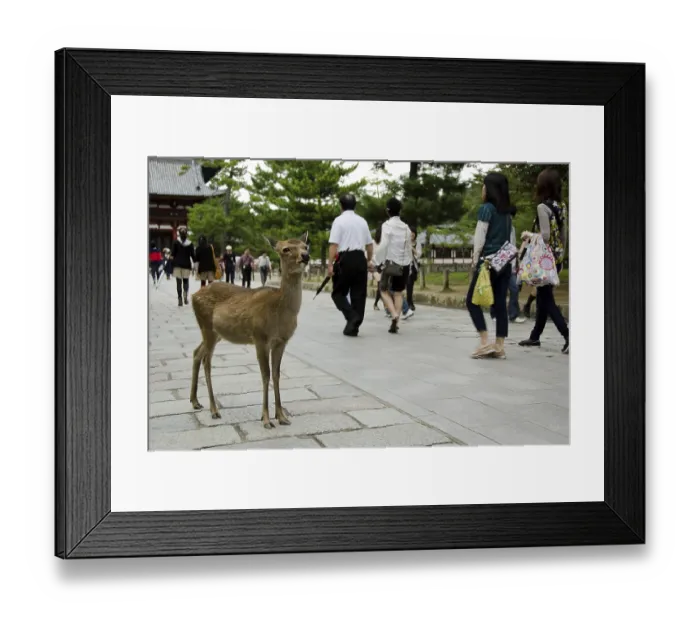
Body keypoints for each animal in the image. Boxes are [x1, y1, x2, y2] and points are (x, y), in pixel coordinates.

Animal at [189, 233, 310, 429]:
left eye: (305, 246)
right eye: (285, 249)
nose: (305, 256)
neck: (280, 311)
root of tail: (193, 296)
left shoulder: (282, 341)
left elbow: (276, 374)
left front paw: (282, 416)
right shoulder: (260, 337)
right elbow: (265, 374)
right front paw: (266, 419)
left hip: (216, 333)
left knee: (196, 352)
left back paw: (195, 401)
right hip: (206, 325)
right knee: (207, 360)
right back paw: (214, 410)